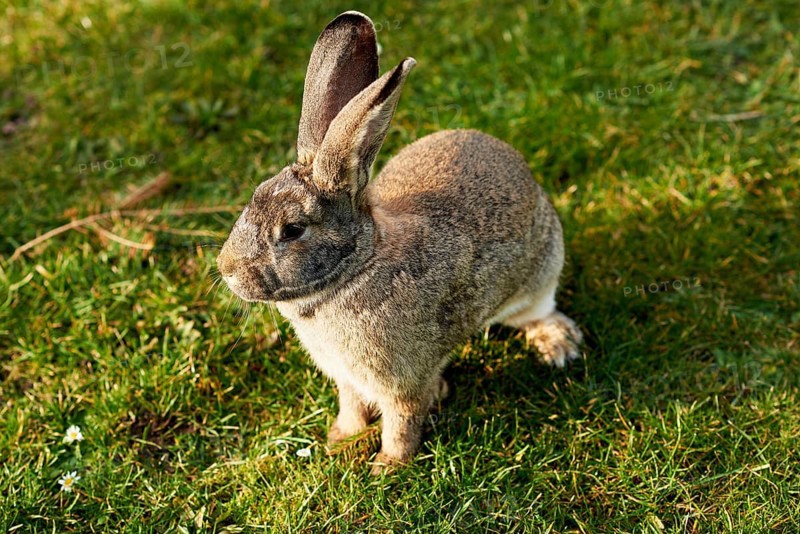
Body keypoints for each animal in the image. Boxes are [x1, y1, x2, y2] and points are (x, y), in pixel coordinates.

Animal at [216, 11, 583, 474]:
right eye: (255, 195)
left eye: (294, 229)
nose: (226, 269)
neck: (354, 270)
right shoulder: (348, 378)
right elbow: (351, 406)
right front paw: (340, 438)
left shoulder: (401, 381)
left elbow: (402, 422)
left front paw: (388, 466)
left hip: (541, 273)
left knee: (539, 312)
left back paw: (559, 345)